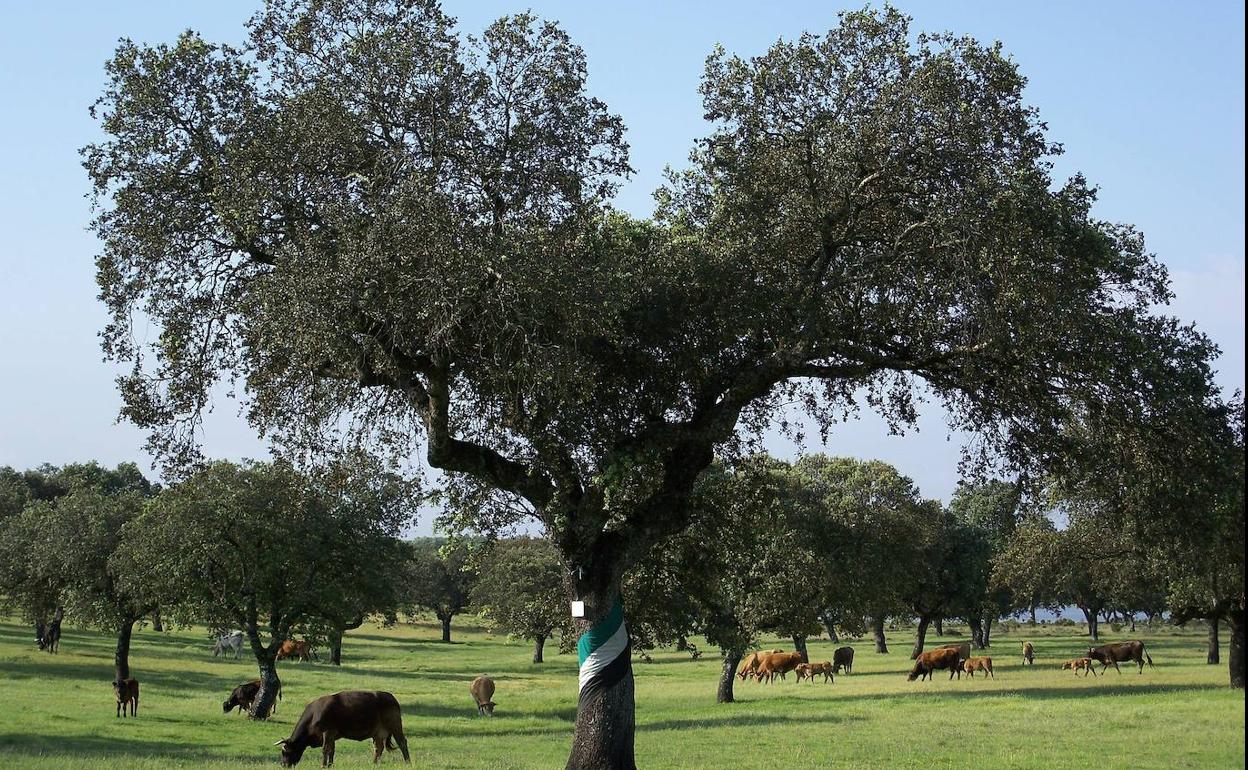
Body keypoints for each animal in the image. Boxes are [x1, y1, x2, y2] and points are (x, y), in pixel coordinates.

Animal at [274, 688, 406, 763]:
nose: (283, 765)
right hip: (377, 733)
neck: (315, 714)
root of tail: (391, 698)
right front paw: (330, 765)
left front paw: (323, 765)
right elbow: (331, 750)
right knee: (378, 748)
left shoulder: (327, 732)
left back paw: (407, 761)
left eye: (285, 752)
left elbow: (325, 750)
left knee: (402, 743)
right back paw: (374, 763)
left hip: (395, 725)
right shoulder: (332, 735)